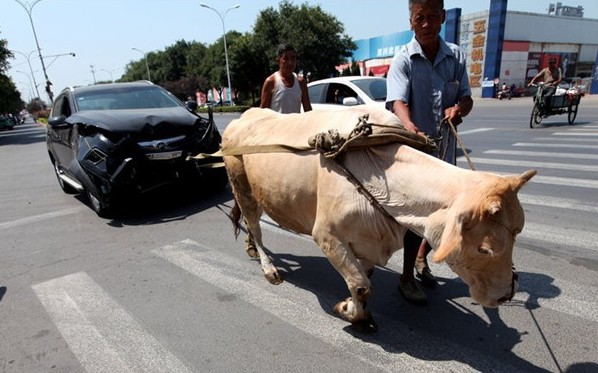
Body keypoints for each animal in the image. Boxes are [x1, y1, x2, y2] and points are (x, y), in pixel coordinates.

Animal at [223, 105, 536, 332]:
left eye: (517, 233)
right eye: (484, 249)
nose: (508, 292)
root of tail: (245, 115)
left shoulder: (370, 242)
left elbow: (364, 278)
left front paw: (352, 305)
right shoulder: (326, 236)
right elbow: (361, 284)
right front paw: (353, 314)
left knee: (251, 224)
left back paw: (252, 249)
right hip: (240, 184)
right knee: (255, 226)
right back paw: (268, 267)